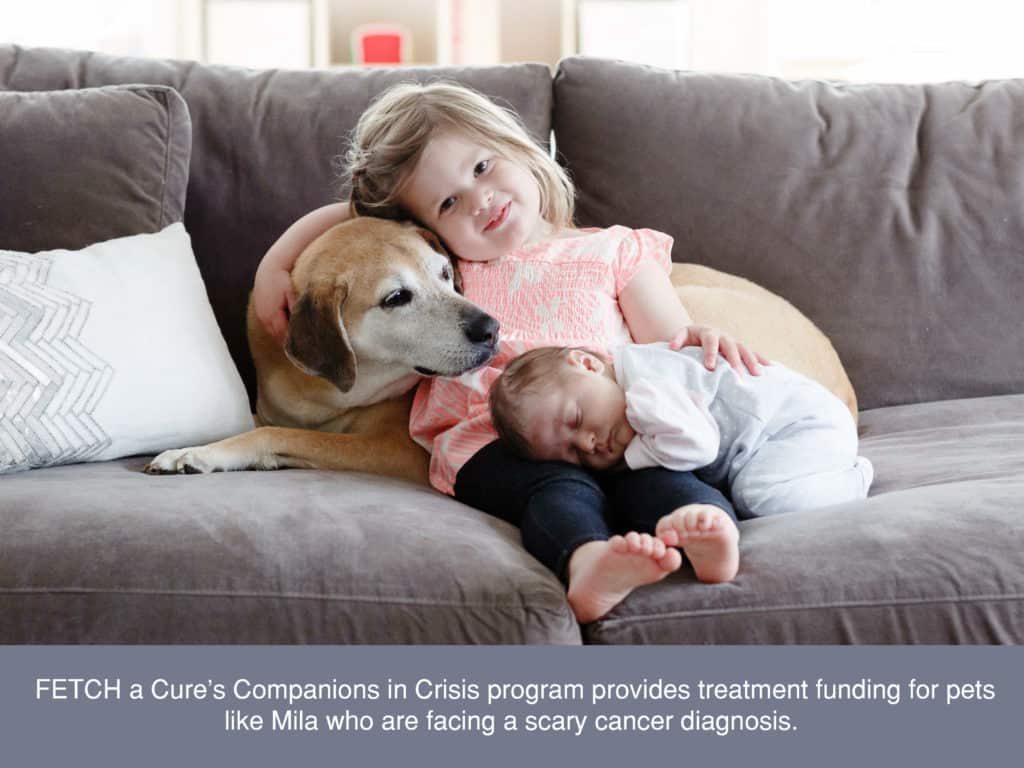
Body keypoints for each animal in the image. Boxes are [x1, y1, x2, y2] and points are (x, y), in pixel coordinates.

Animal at [143, 217, 495, 483]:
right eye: (396, 298)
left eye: (445, 273)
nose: (491, 328)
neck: (319, 393)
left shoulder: (401, 450)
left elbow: (282, 434)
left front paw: (200, 454)